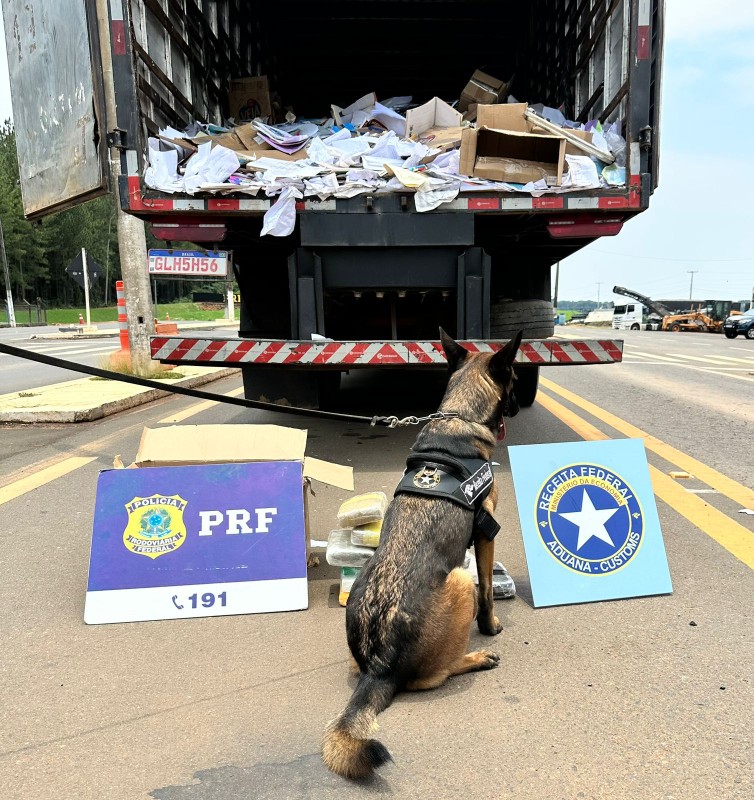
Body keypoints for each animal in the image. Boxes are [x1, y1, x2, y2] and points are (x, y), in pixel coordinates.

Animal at [320, 328, 520, 780]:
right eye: (516, 378)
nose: (518, 406)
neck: (459, 414)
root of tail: (377, 668)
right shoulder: (487, 534)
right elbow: (487, 591)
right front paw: (491, 626)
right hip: (459, 583)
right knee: (436, 675)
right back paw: (476, 656)